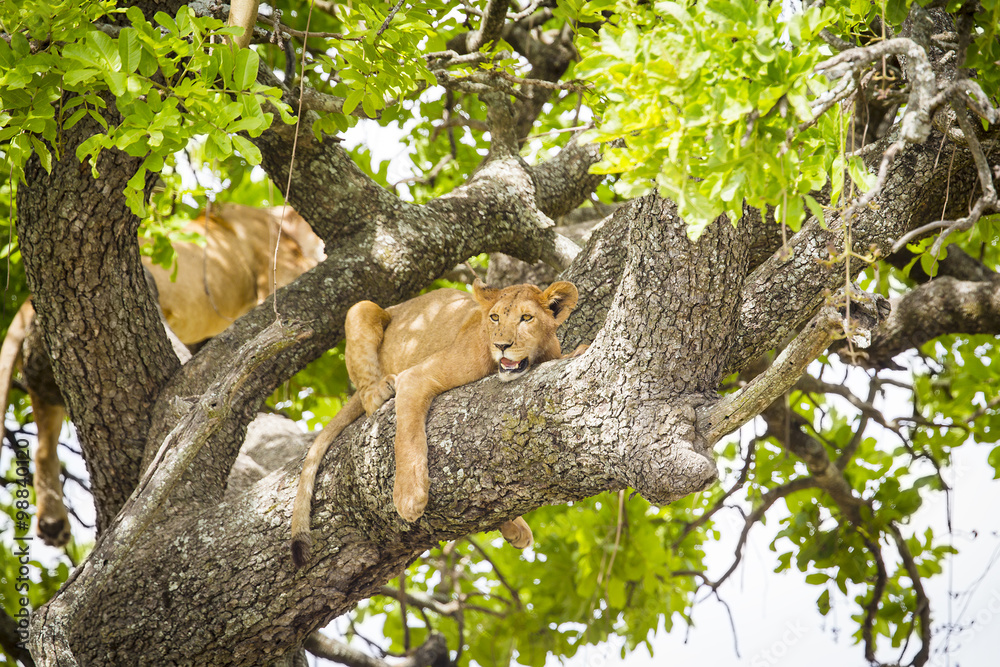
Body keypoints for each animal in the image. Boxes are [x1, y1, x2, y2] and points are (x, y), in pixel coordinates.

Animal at [290, 278, 580, 568]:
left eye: (527, 318)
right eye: (495, 317)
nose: (501, 345)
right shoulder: (414, 376)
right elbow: (407, 437)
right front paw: (409, 499)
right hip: (361, 310)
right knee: (369, 397)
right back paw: (383, 389)